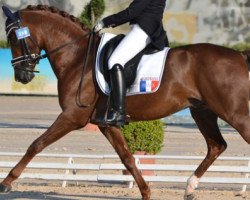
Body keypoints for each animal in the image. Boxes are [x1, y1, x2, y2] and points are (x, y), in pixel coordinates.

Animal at [1, 4, 250, 200]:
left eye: (13, 38)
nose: (22, 77)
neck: (77, 56)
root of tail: (239, 55)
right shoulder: (106, 124)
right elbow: (127, 158)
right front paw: (146, 192)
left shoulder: (72, 116)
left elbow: (36, 144)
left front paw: (6, 183)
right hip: (203, 112)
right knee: (216, 146)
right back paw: (190, 187)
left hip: (233, 112)